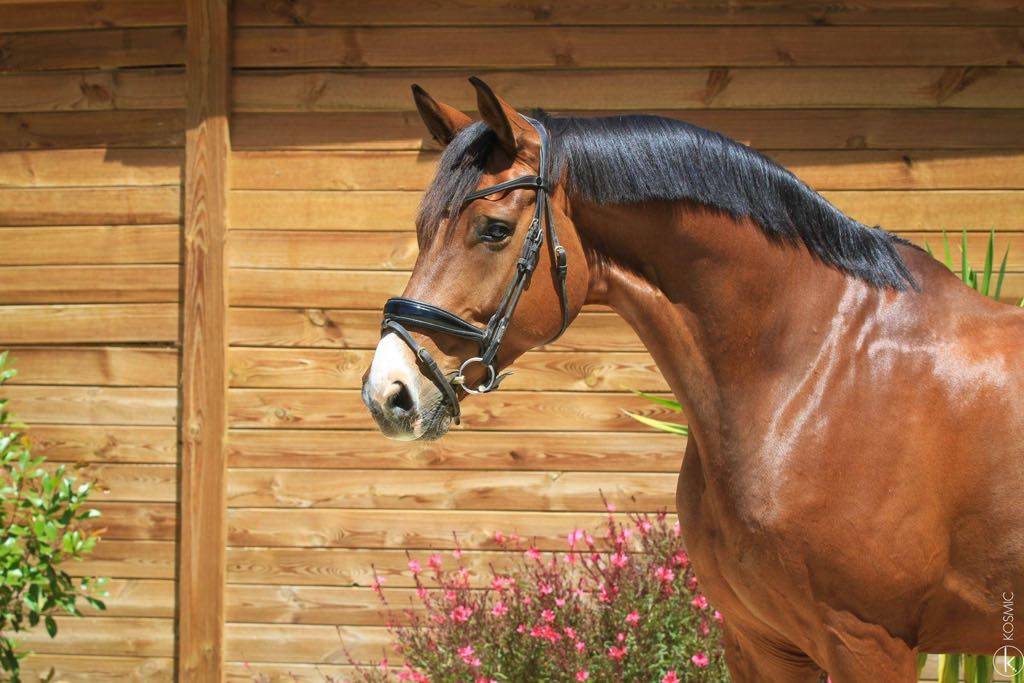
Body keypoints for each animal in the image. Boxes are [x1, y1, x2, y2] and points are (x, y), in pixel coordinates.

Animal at [360, 77, 1024, 681]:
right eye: (421, 229)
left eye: (494, 230)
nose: (388, 394)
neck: (818, 374)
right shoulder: (763, 641)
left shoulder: (870, 645)